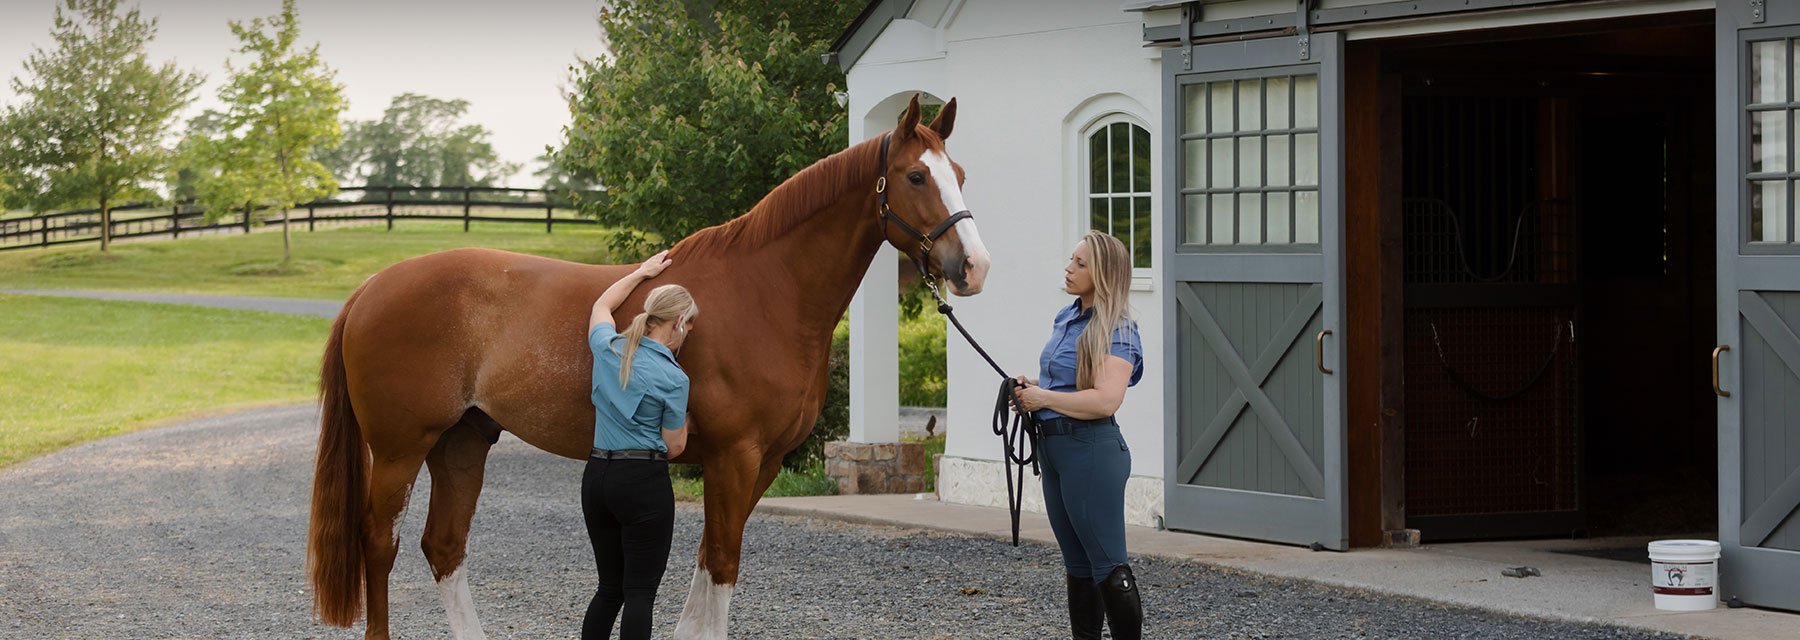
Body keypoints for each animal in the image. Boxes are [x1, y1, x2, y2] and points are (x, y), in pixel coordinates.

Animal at [306, 95, 988, 640]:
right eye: (916, 176)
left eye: (958, 173)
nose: (974, 267)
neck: (765, 293)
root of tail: (369, 288)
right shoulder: (734, 456)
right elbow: (722, 562)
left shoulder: (761, 462)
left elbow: (709, 560)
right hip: (401, 448)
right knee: (380, 542)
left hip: (462, 442)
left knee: (443, 546)